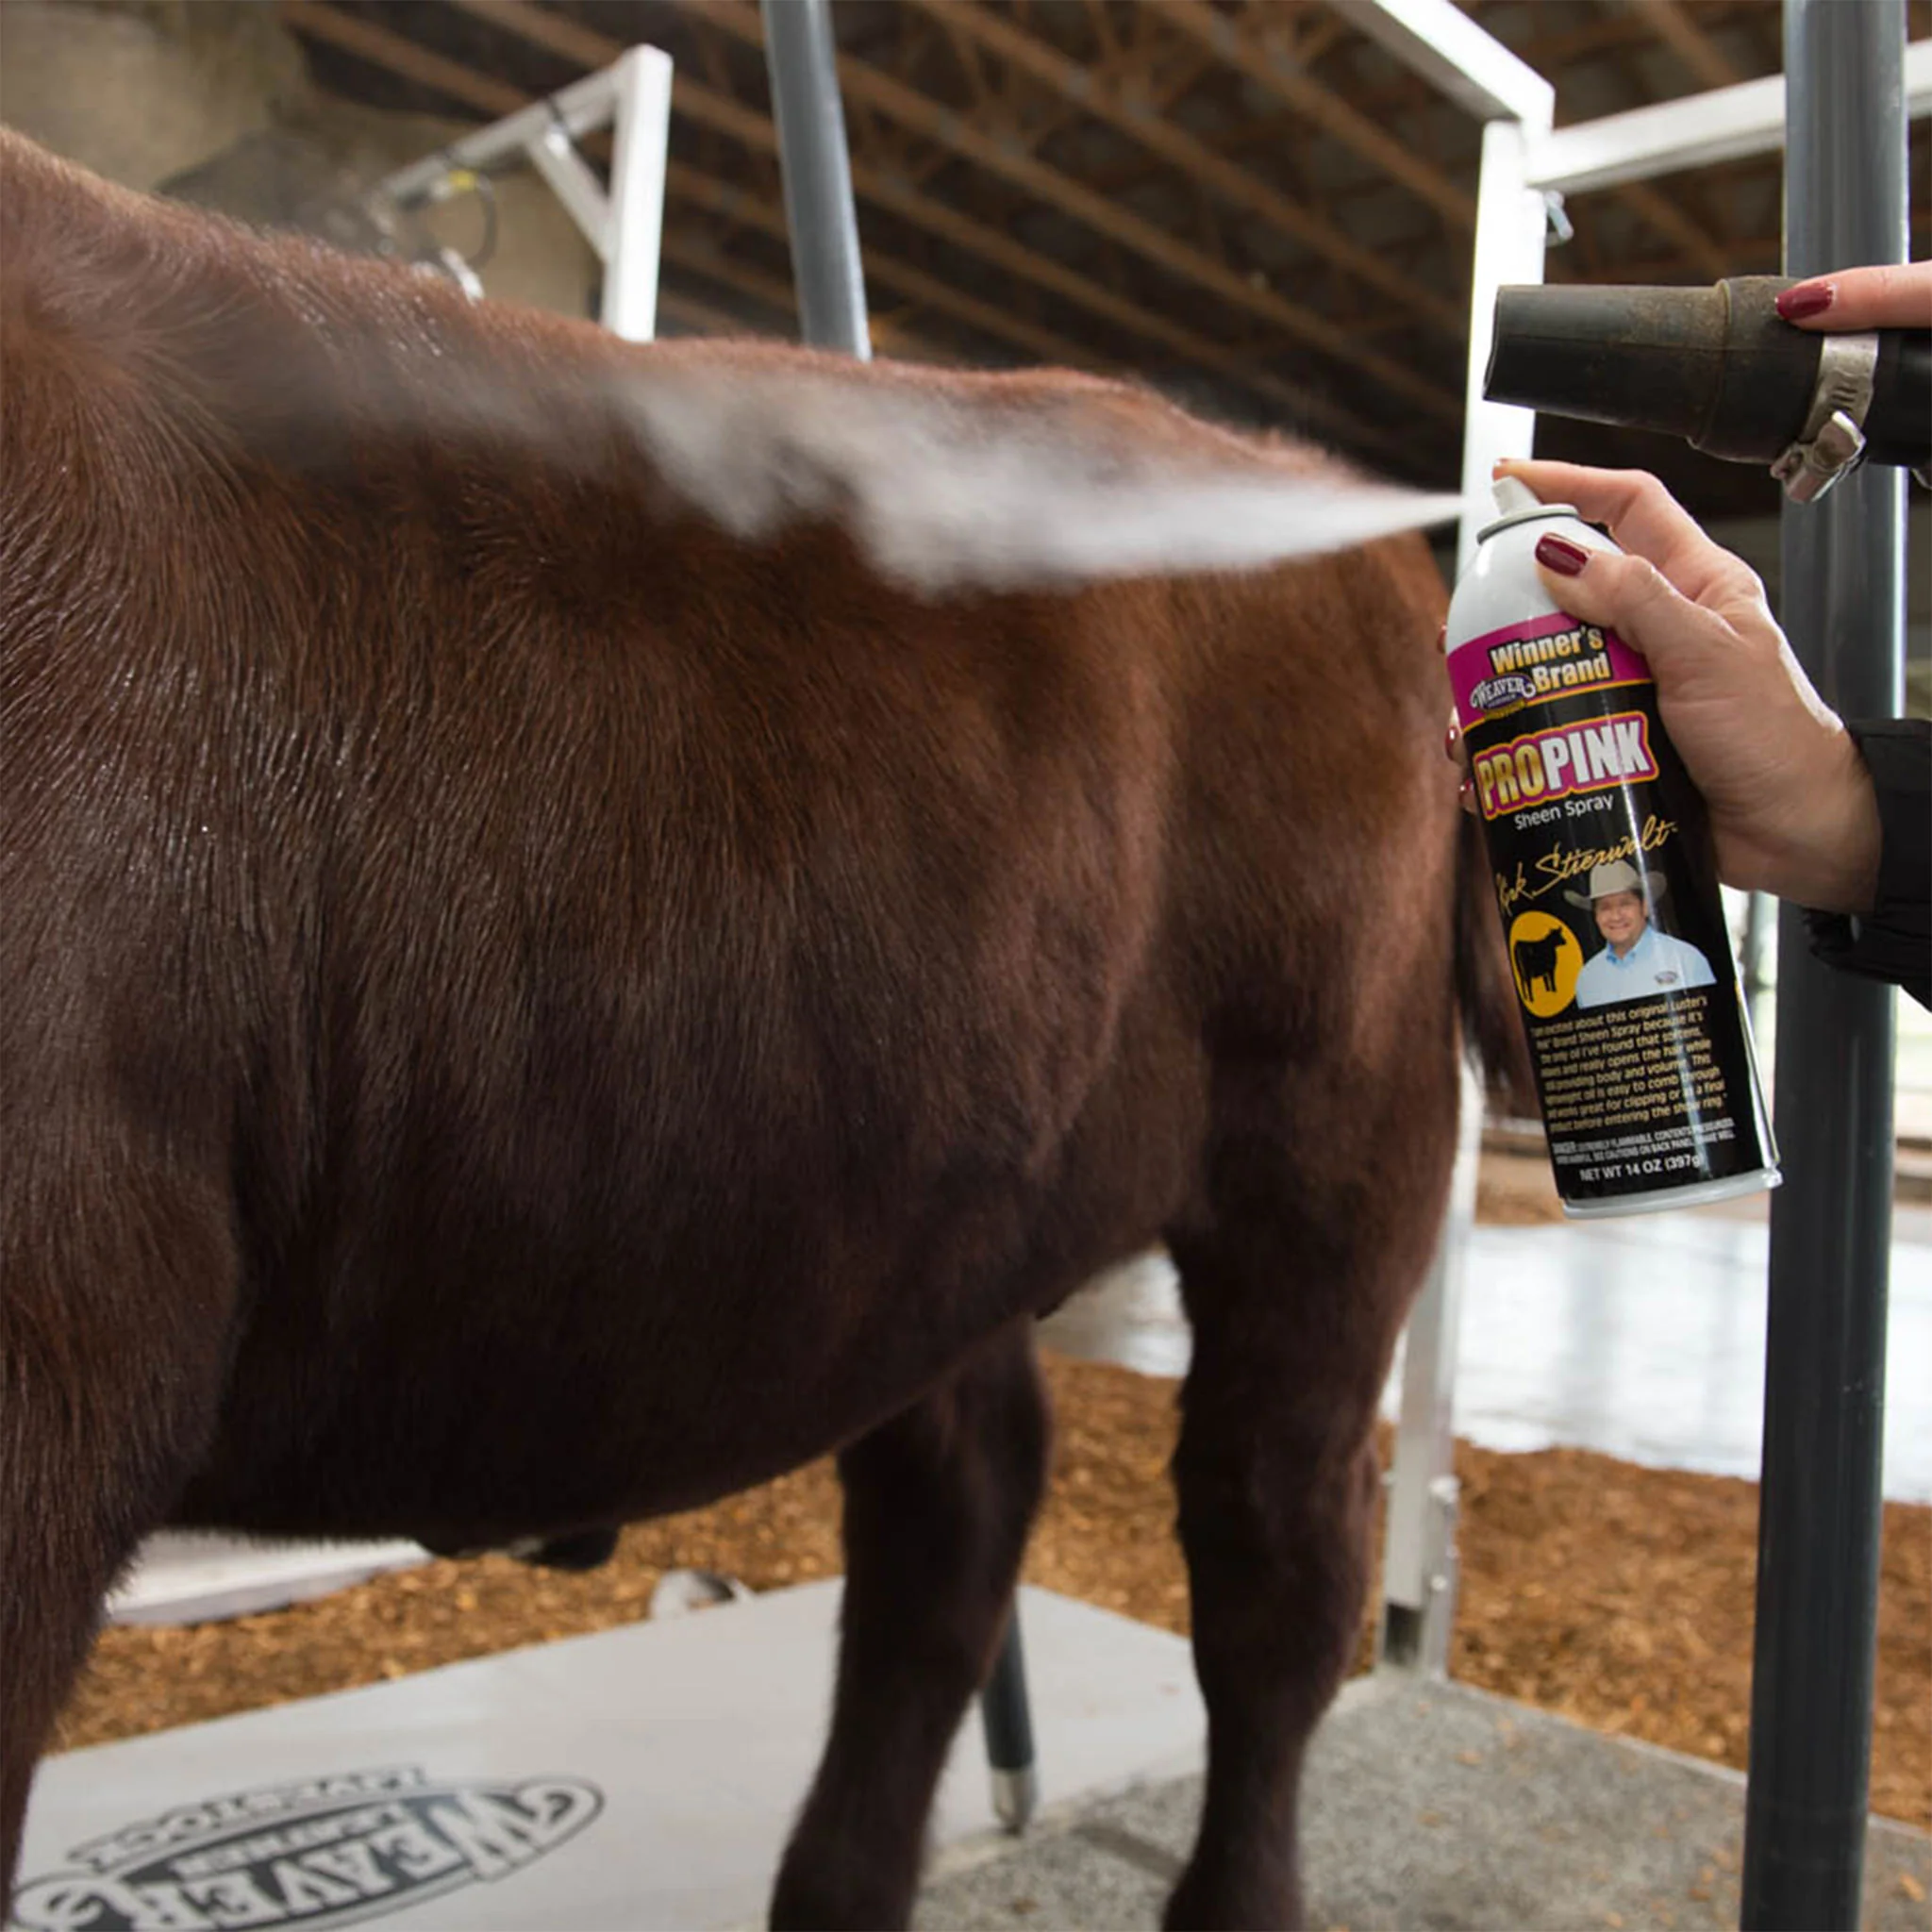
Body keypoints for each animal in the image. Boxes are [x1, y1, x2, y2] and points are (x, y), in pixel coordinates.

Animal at [0, 130, 1526, 1930]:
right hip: (939, 1186)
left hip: (1332, 1165)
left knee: (1272, 1558)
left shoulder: (55, 1365)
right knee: (959, 1503)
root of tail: (1342, 523)